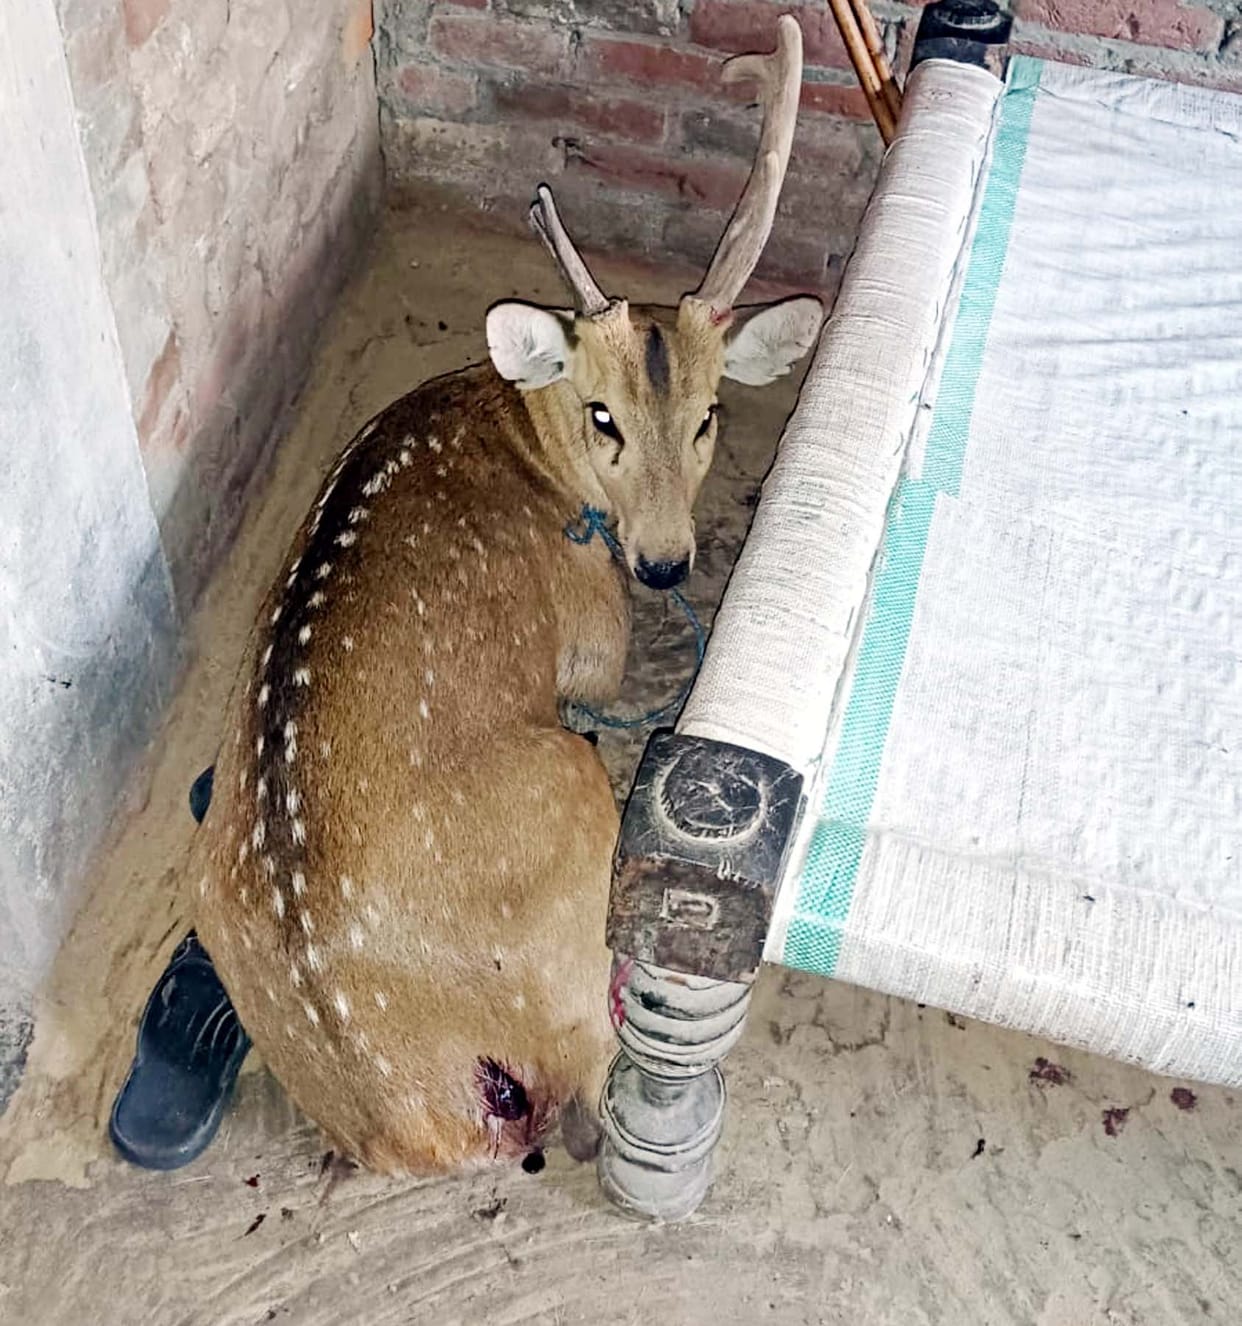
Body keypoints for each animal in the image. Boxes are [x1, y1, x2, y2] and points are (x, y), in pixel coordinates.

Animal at [192, 15, 821, 1176]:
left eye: (709, 413)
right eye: (602, 413)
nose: (665, 563)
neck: (521, 431)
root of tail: (415, 1114)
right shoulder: (589, 640)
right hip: (566, 798)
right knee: (589, 1077)